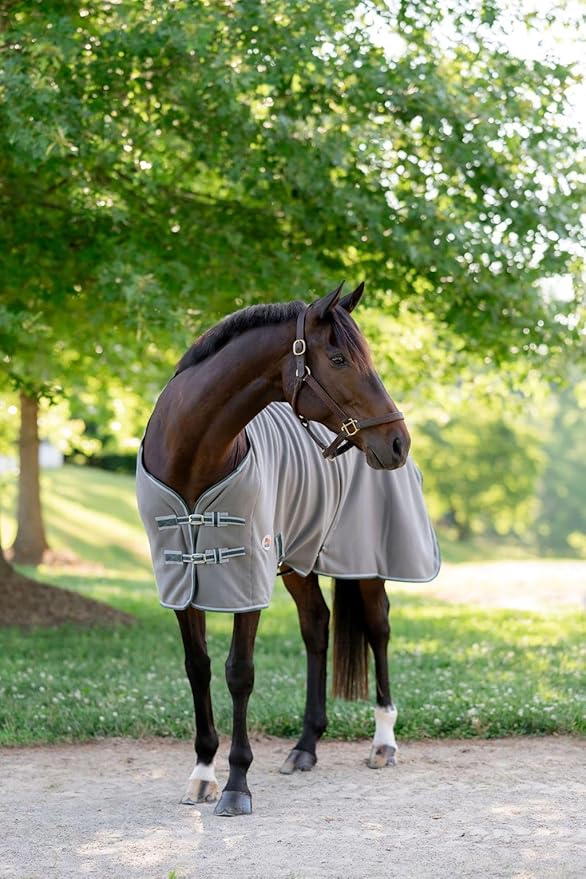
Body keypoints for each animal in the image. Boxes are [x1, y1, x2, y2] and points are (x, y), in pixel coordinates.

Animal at [138, 281, 439, 817]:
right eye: (338, 359)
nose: (398, 442)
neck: (192, 460)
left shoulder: (247, 575)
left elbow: (239, 672)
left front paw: (236, 784)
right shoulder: (180, 579)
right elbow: (198, 669)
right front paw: (203, 772)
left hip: (366, 560)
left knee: (379, 628)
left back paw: (384, 741)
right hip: (298, 562)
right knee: (316, 626)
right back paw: (305, 746)